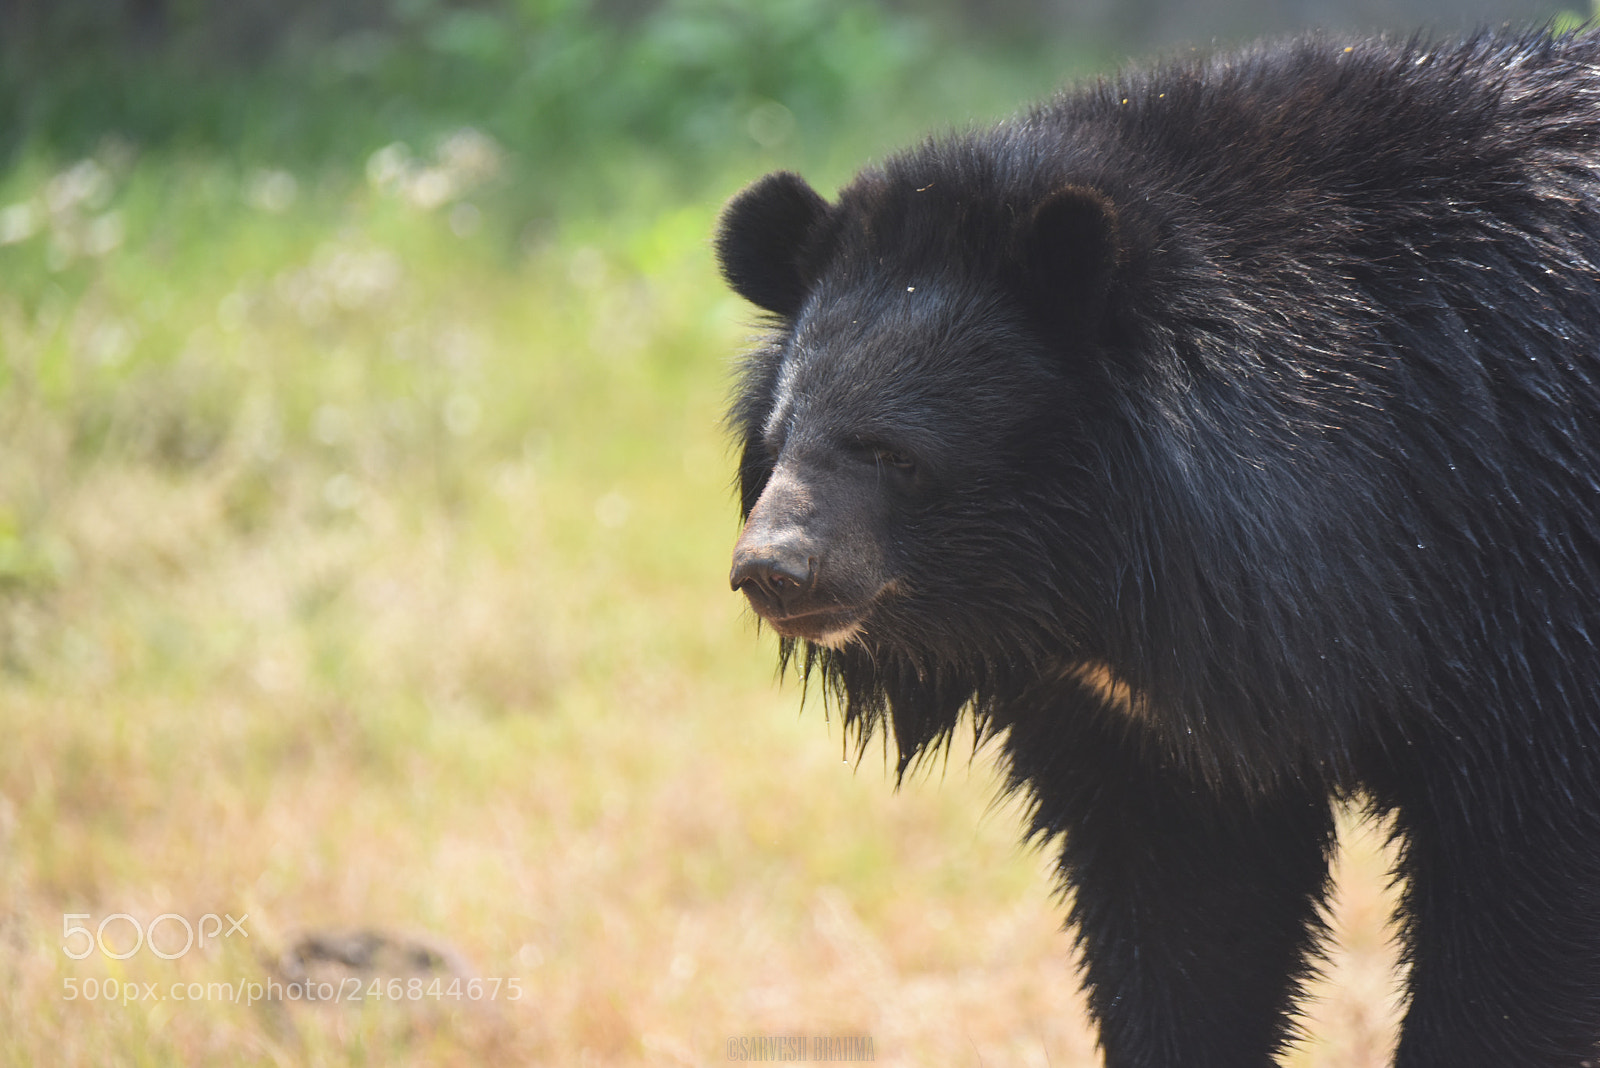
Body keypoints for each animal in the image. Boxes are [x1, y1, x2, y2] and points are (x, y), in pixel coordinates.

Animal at [716, 29, 1600, 1068]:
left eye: (893, 454)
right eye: (781, 442)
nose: (772, 571)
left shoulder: (1533, 589)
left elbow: (1523, 893)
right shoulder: (1144, 726)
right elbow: (1191, 914)